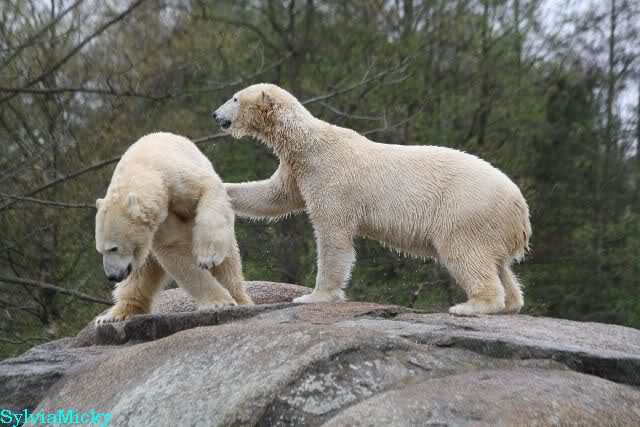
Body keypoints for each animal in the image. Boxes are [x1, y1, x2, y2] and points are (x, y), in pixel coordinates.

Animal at [94, 132, 252, 324]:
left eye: (113, 248)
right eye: (100, 250)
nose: (112, 276)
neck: (145, 169)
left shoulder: (178, 180)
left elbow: (208, 188)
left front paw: (207, 258)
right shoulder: (158, 223)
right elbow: (174, 250)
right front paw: (219, 302)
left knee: (229, 262)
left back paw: (241, 299)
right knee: (140, 274)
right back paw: (114, 315)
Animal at [212, 84, 531, 316]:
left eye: (235, 98)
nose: (215, 115)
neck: (309, 143)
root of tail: (519, 206)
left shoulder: (330, 177)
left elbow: (333, 237)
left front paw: (313, 297)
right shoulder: (297, 170)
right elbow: (273, 197)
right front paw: (222, 188)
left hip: (466, 211)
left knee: (464, 253)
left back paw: (471, 306)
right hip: (490, 225)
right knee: (498, 264)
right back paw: (511, 303)